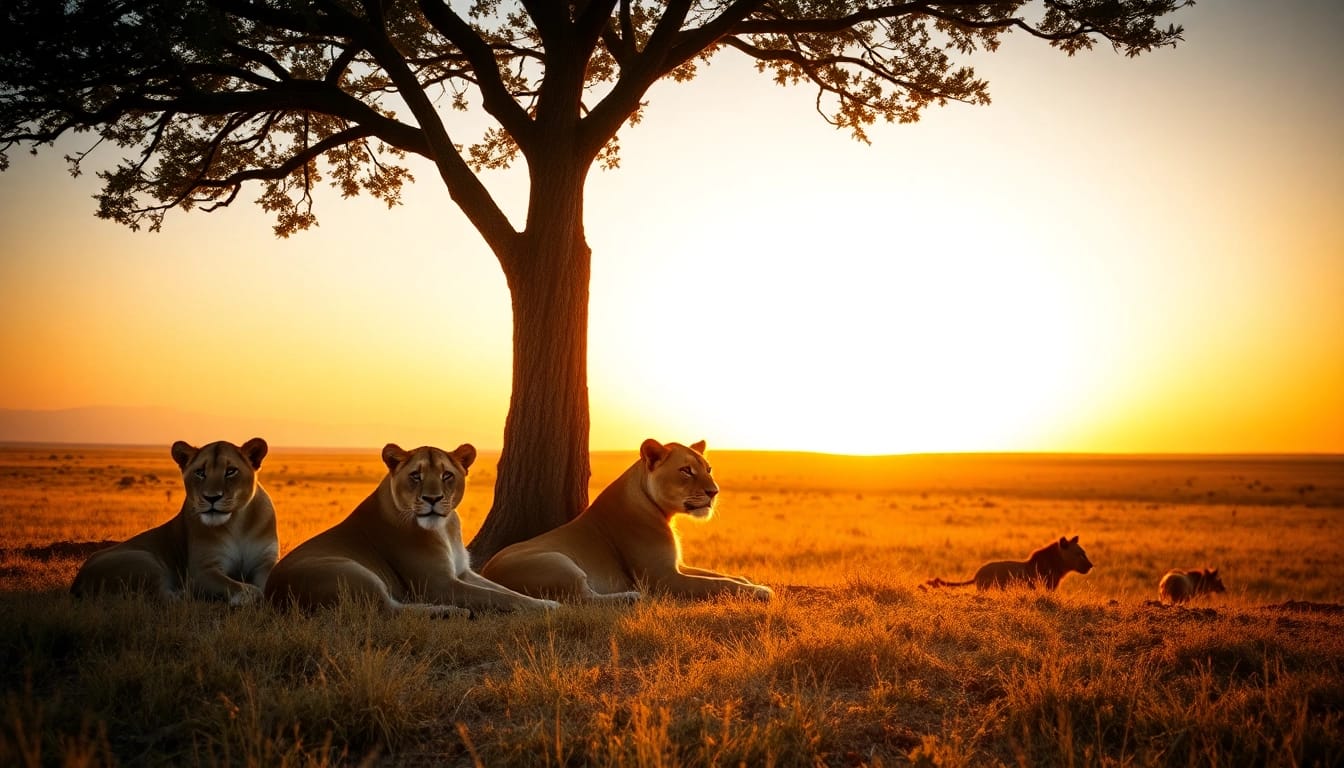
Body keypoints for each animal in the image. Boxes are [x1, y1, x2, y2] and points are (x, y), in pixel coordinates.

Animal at [71, 438, 277, 604]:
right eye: (200, 472)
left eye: (231, 471)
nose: (211, 497)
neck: (238, 524)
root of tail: (77, 581)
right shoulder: (201, 571)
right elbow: (241, 586)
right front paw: (247, 595)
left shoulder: (265, 562)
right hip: (144, 561)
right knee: (160, 596)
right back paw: (185, 594)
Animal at [264, 443, 557, 616]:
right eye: (416, 475)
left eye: (447, 475)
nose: (432, 499)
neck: (446, 529)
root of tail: (273, 594)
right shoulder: (438, 584)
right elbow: (498, 597)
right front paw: (552, 608)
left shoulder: (462, 571)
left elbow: (505, 590)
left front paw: (546, 602)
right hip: (352, 570)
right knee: (387, 609)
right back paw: (451, 611)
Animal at [481, 439, 773, 602]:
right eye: (686, 471)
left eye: (708, 469)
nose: (714, 492)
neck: (661, 511)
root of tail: (487, 573)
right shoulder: (663, 578)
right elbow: (718, 584)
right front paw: (761, 591)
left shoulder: (677, 565)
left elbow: (720, 575)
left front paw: (750, 581)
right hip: (558, 561)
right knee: (581, 600)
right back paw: (631, 597)